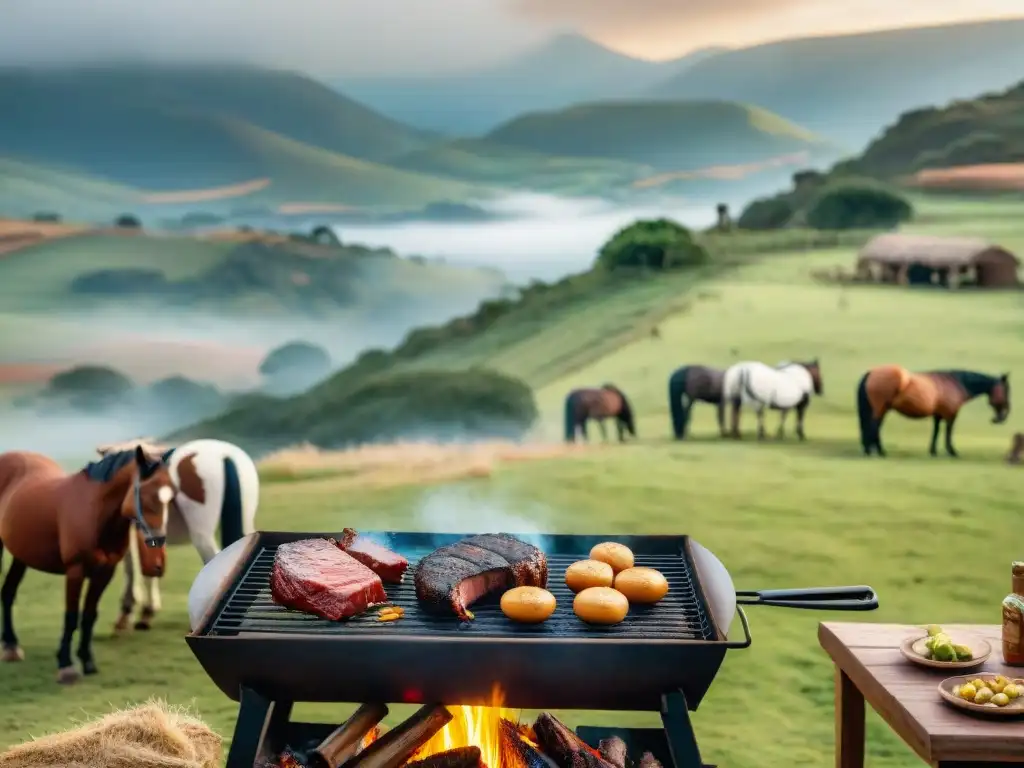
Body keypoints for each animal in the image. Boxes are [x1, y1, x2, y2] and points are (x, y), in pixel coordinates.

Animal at [0, 444, 173, 684]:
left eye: (170, 496)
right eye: (146, 494)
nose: (157, 547)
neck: (95, 511)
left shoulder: (104, 573)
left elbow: (89, 616)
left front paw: (87, 661)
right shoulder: (76, 571)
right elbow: (71, 616)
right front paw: (66, 666)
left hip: (22, 554)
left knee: (8, 592)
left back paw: (11, 646)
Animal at [95, 438, 260, 630]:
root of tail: (225, 455)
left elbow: (134, 571)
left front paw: (128, 615)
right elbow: (151, 568)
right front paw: (146, 612)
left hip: (202, 536)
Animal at [856, 364, 1007, 456]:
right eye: (1007, 392)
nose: (1001, 418)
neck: (955, 384)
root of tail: (871, 373)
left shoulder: (938, 415)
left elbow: (936, 431)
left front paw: (933, 451)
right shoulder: (951, 415)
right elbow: (948, 433)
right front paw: (952, 451)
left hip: (881, 410)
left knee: (875, 428)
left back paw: (875, 450)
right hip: (879, 409)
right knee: (874, 427)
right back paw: (877, 451)